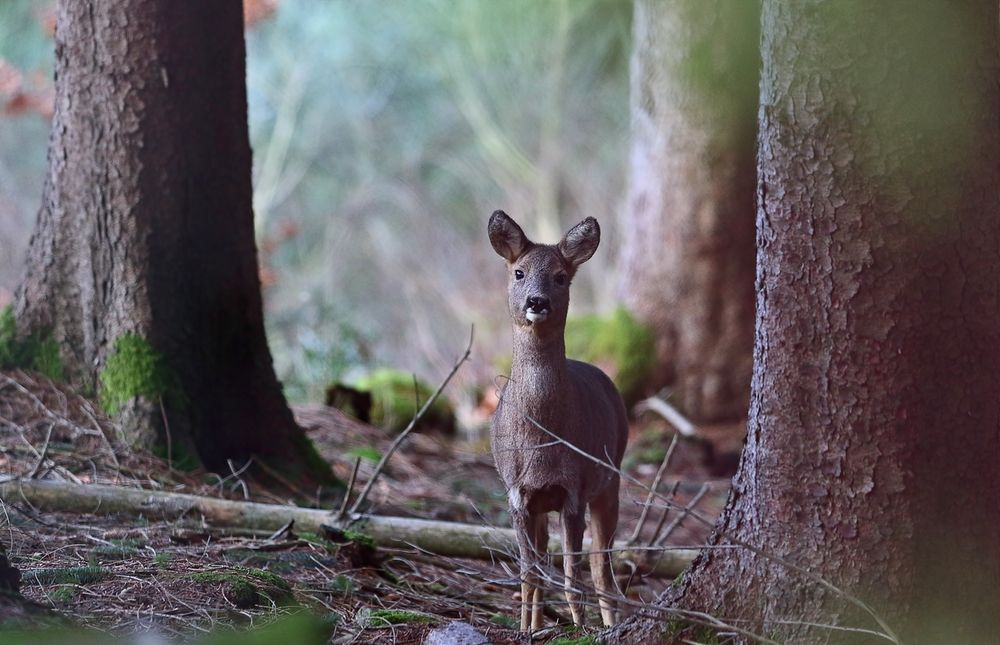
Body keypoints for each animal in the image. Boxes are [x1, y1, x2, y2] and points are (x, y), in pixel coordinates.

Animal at [488, 210, 628, 628]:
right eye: (518, 272)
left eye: (561, 276)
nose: (537, 301)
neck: (543, 438)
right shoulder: (516, 493)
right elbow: (528, 576)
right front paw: (525, 631)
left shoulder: (574, 489)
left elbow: (572, 581)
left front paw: (580, 629)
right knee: (545, 560)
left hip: (611, 477)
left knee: (602, 570)